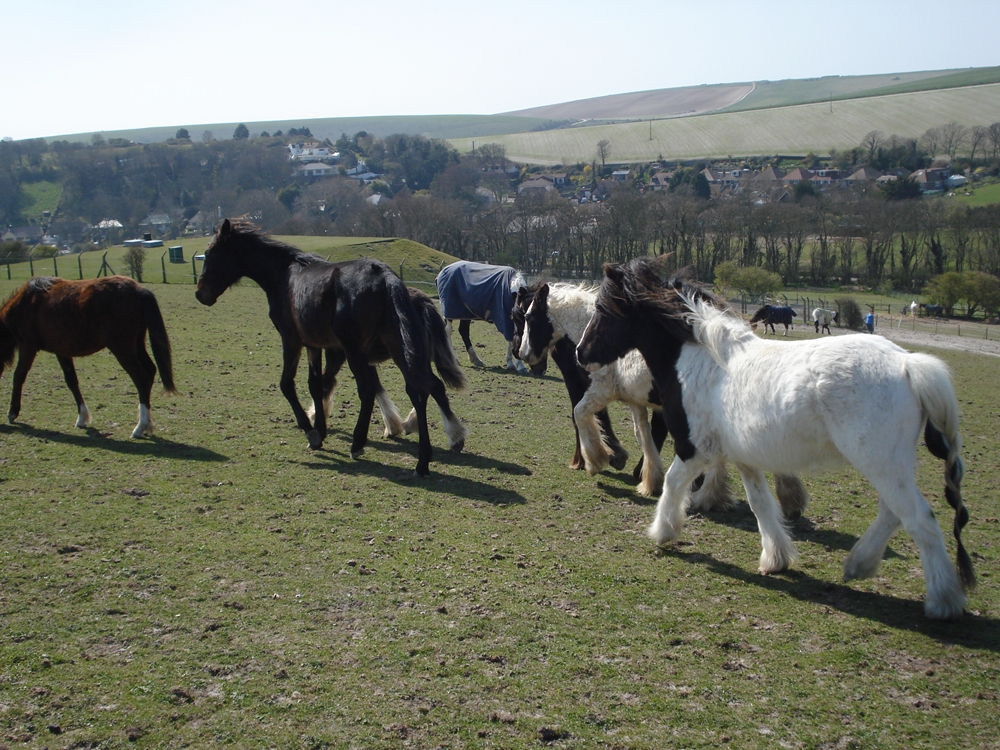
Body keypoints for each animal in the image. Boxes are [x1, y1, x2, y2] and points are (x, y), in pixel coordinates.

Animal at [0, 275, 176, 438]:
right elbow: (71, 381)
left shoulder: (28, 346)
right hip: (137, 344)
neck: (27, 303)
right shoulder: (62, 351)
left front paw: (12, 412)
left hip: (121, 348)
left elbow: (18, 376)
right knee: (150, 371)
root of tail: (139, 290)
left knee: (141, 378)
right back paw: (147, 425)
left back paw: (140, 427)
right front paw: (82, 418)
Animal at [195, 219, 467, 477]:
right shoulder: (315, 346)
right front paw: (320, 427)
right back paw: (425, 458)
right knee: (422, 389)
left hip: (358, 350)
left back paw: (360, 443)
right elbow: (316, 384)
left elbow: (288, 384)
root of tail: (386, 277)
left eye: (210, 254)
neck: (283, 275)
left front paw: (311, 431)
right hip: (399, 350)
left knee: (373, 389)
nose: (200, 294)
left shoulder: (292, 341)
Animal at [514, 280, 809, 515]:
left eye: (529, 318)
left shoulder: (601, 391)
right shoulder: (637, 402)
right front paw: (649, 479)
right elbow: (644, 436)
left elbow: (581, 414)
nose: (524, 354)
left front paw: (597, 459)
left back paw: (712, 496)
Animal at [577, 258, 974, 619]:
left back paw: (943, 601)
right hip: (890, 463)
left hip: (880, 461)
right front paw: (776, 558)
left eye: (602, 309)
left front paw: (663, 531)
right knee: (893, 512)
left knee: (919, 518)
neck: (699, 361)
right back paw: (859, 565)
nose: (582, 354)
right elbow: (761, 505)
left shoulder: (695, 449)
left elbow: (673, 484)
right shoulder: (744, 458)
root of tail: (909, 365)